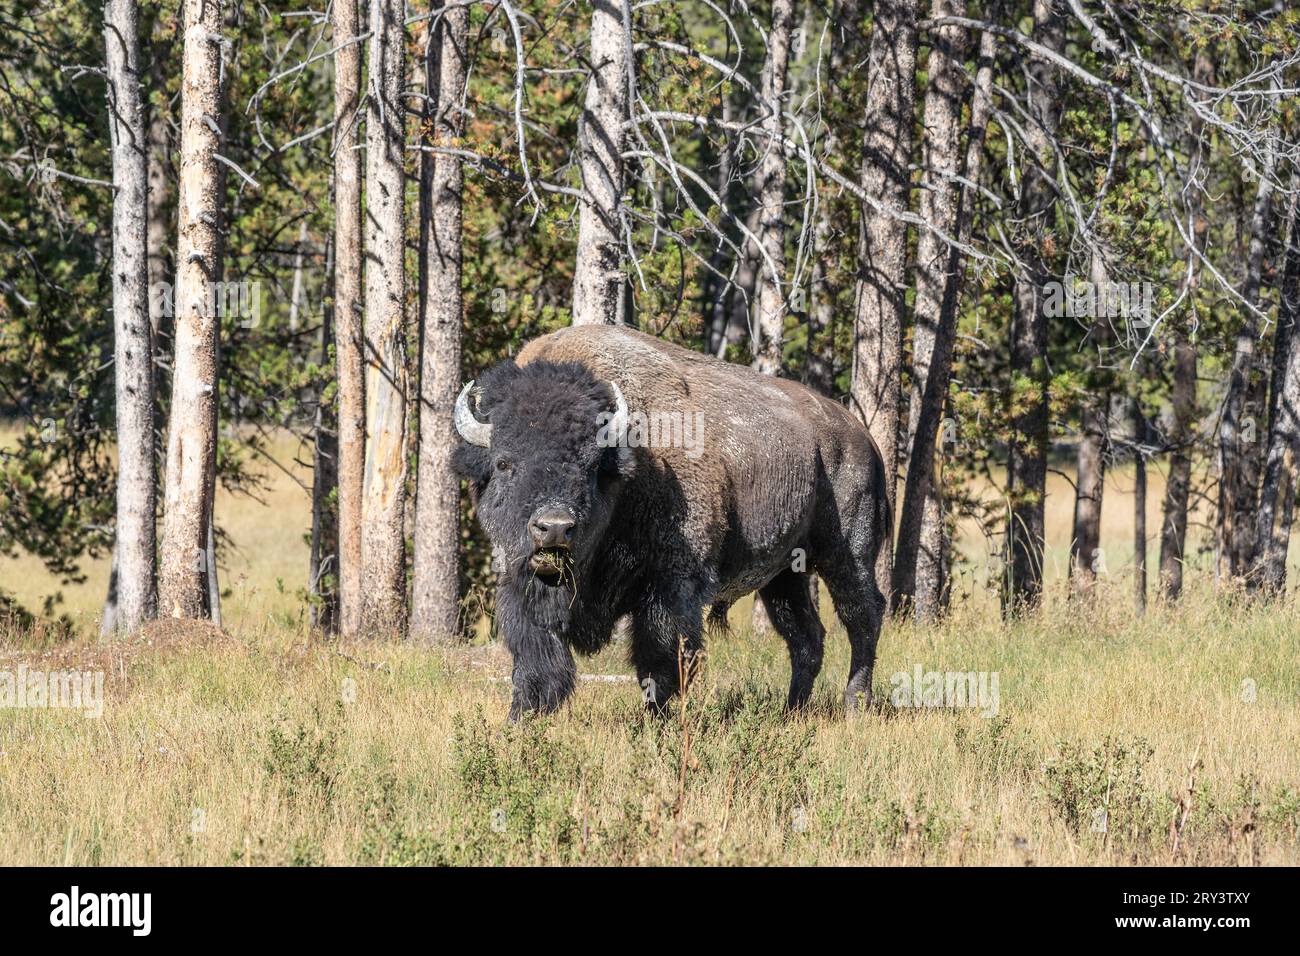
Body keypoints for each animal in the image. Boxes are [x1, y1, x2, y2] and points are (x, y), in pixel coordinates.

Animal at [452, 323, 889, 717]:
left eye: (591, 466)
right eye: (504, 463)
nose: (554, 527)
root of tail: (862, 437)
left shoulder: (671, 586)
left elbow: (660, 659)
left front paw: (654, 722)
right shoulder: (520, 583)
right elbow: (535, 658)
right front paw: (523, 719)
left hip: (847, 553)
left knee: (862, 617)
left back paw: (856, 707)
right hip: (784, 576)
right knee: (806, 636)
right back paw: (792, 711)